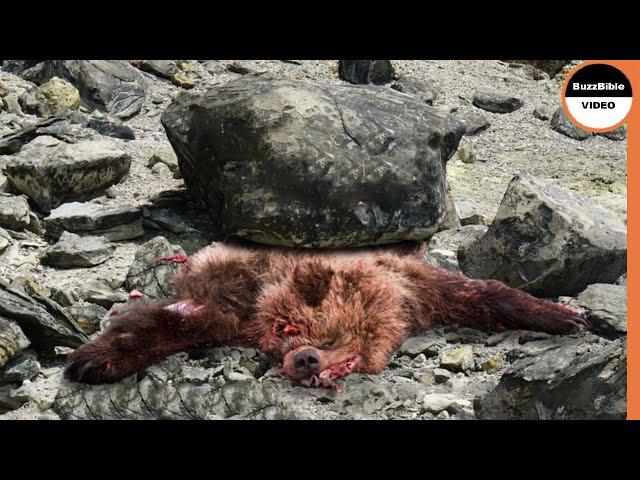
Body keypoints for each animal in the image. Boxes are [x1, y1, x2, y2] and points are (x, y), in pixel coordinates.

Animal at [62, 242, 588, 392]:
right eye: (283, 345)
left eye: (345, 365)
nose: (306, 362)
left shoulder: (415, 289)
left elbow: (480, 293)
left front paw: (559, 316)